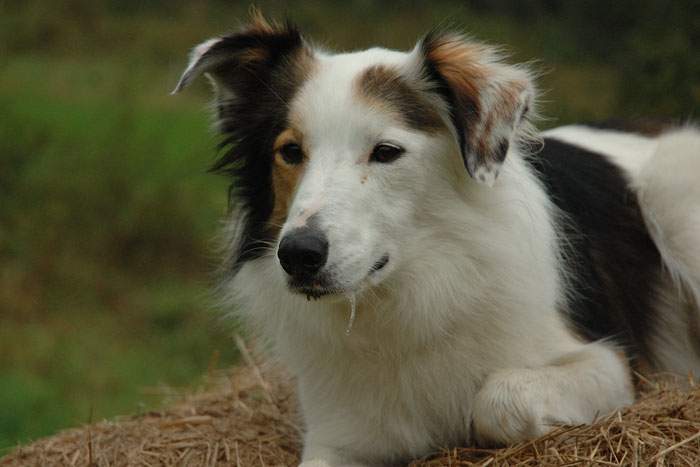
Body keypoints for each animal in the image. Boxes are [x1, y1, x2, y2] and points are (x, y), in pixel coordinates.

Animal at [171, 14, 700, 467]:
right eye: (291, 151)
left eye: (386, 152)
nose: (298, 255)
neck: (414, 289)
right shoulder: (338, 437)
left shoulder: (608, 363)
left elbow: (498, 398)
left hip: (672, 190)